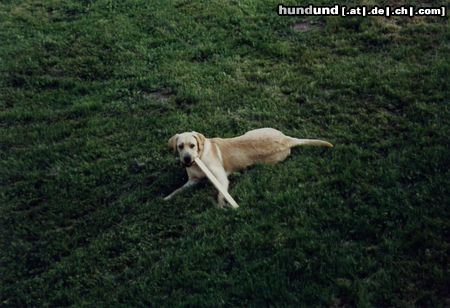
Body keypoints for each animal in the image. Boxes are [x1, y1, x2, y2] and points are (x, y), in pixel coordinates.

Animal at [164, 127, 330, 207]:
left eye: (192, 145)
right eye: (180, 146)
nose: (187, 159)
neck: (199, 158)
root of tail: (287, 139)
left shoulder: (221, 177)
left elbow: (221, 192)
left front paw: (221, 204)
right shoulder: (192, 180)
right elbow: (178, 190)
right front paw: (167, 197)